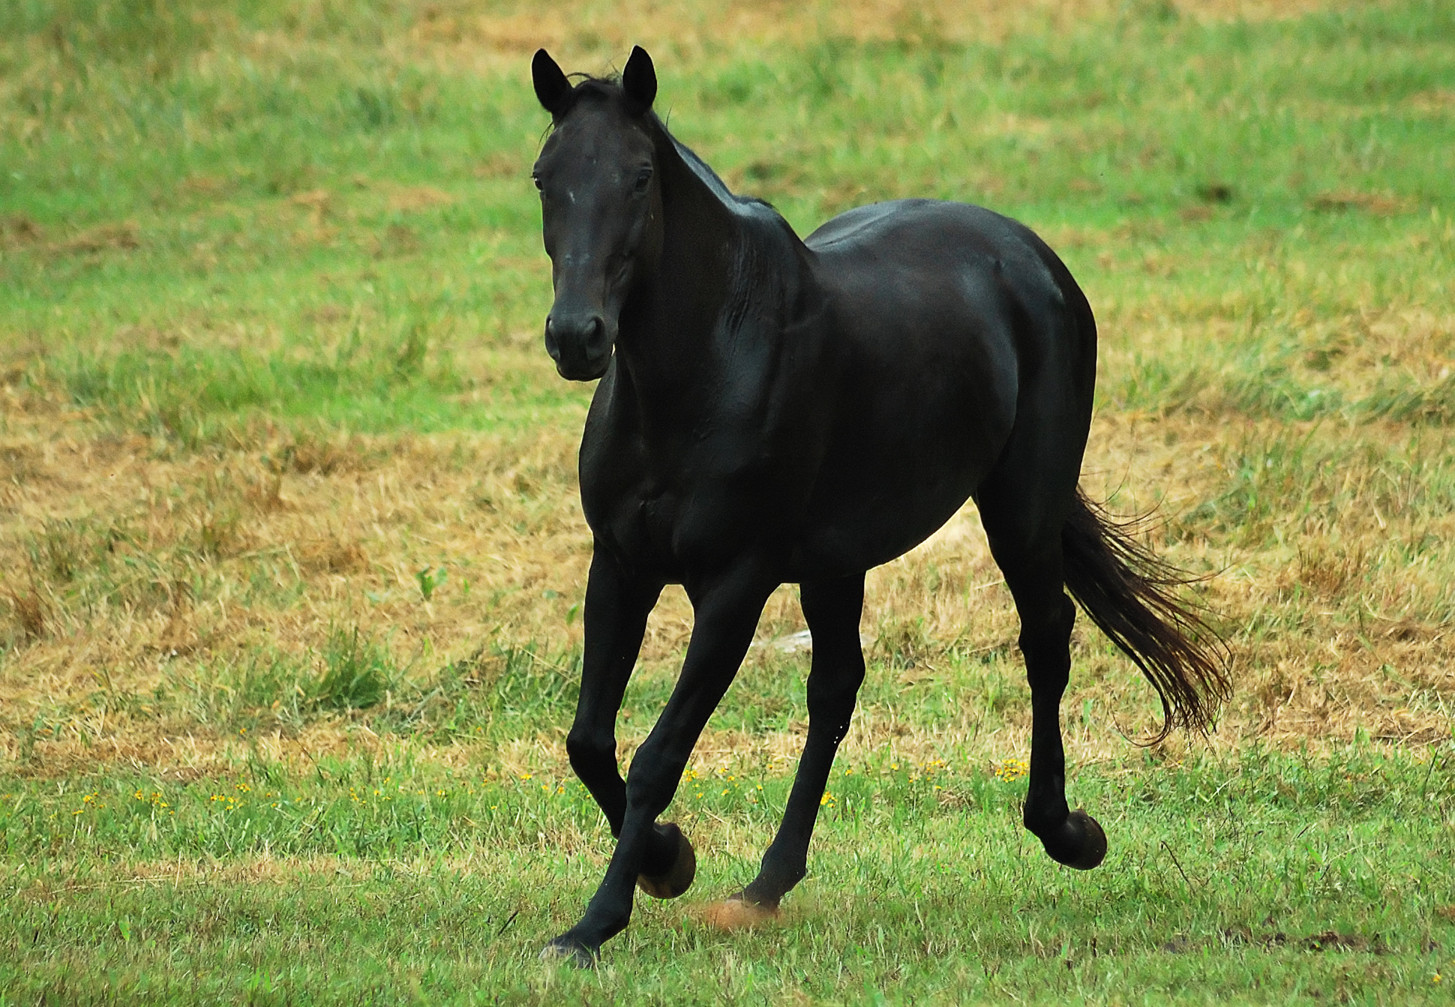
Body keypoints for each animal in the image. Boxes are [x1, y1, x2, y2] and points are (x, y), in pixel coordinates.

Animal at [523, 47, 1228, 966]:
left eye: (640, 177)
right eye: (545, 177)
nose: (577, 337)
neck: (707, 361)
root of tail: (1029, 254)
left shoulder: (734, 585)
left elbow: (656, 755)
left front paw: (597, 919)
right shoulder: (620, 565)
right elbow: (589, 741)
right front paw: (668, 861)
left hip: (1020, 509)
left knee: (1045, 638)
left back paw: (1067, 831)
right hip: (836, 561)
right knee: (836, 688)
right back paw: (765, 884)